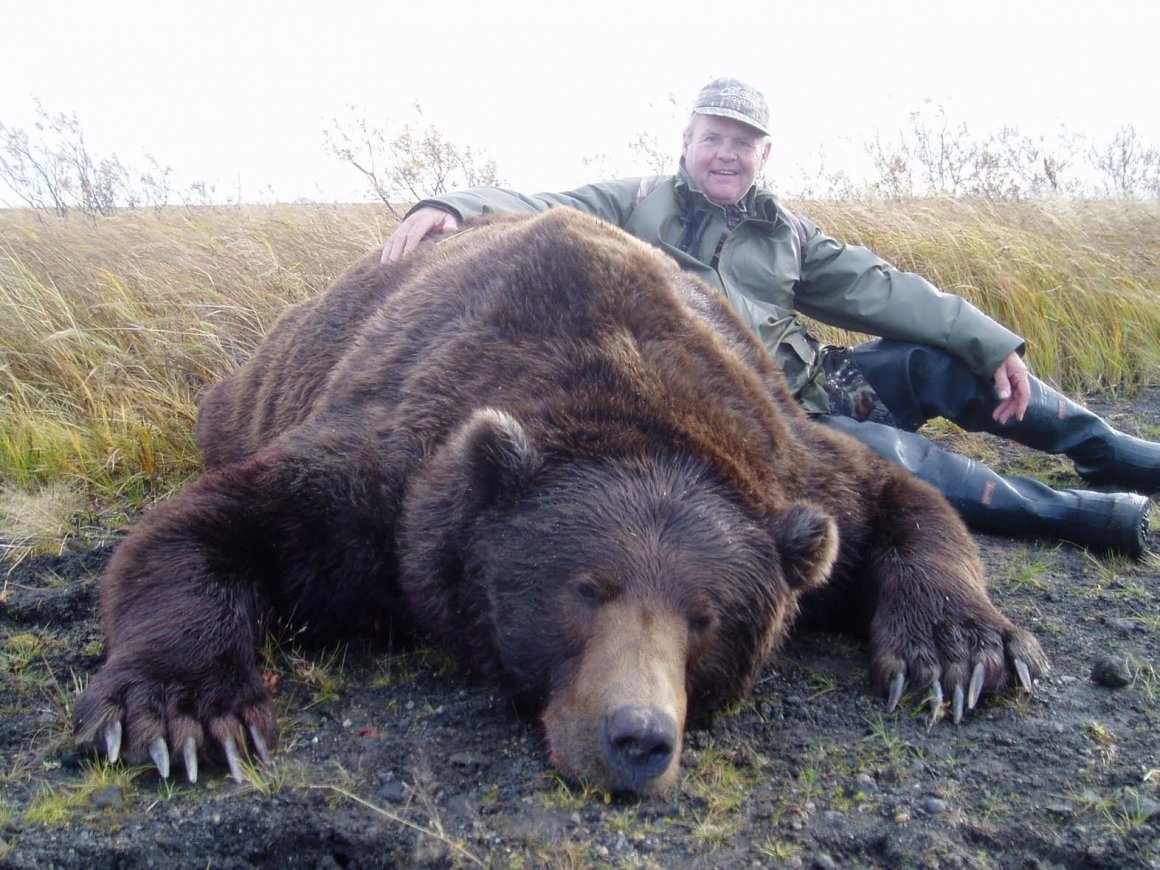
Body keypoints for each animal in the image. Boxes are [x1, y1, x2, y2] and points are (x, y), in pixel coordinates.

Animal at [73, 209, 1047, 795]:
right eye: (585, 590)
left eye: (708, 618)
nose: (638, 738)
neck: (619, 384)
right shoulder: (384, 483)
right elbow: (203, 527)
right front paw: (185, 715)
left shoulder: (789, 460)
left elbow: (902, 504)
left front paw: (961, 652)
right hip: (250, 390)